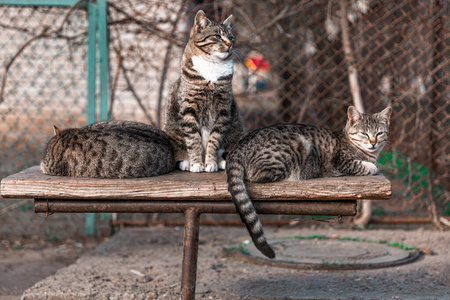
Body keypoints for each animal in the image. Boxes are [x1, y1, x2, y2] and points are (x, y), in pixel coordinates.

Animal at [163, 9, 244, 172]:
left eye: (231, 37)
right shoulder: (188, 109)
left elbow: (214, 139)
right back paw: (186, 162)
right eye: (217, 36)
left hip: (237, 131)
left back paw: (221, 161)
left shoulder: (223, 110)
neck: (212, 65)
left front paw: (211, 163)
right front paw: (196, 163)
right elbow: (193, 139)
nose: (230, 44)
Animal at [227, 106, 392, 258]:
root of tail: (238, 148)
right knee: (259, 176)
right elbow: (367, 166)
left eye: (379, 133)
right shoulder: (343, 163)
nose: (373, 142)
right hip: (296, 143)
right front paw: (373, 166)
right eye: (364, 133)